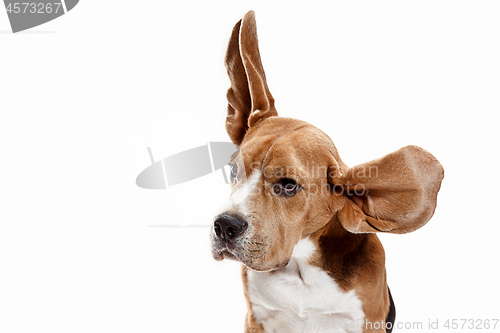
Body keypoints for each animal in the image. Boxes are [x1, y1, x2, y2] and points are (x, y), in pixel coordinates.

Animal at [209, 10, 444, 332]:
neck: (300, 269)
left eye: (288, 185)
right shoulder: (256, 319)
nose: (224, 226)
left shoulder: (366, 321)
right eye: (233, 171)